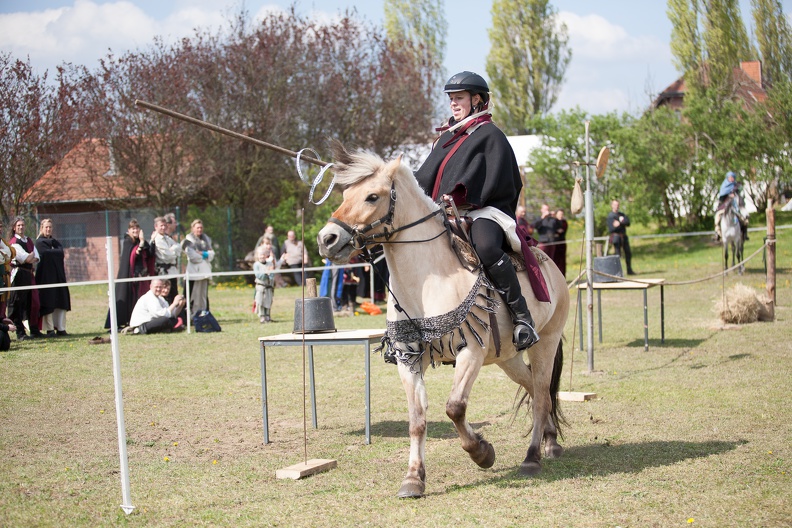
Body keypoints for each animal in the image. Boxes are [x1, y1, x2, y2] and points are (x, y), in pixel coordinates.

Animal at [316, 145, 568, 500]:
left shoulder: (471, 352)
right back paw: (550, 441)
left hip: (545, 342)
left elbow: (454, 408)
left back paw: (532, 457)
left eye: (372, 196)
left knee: (543, 393)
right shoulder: (408, 359)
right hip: (508, 358)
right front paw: (413, 478)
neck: (426, 280)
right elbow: (417, 419)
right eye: (345, 194)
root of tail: (552, 268)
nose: (327, 239)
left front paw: (482, 452)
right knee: (535, 389)